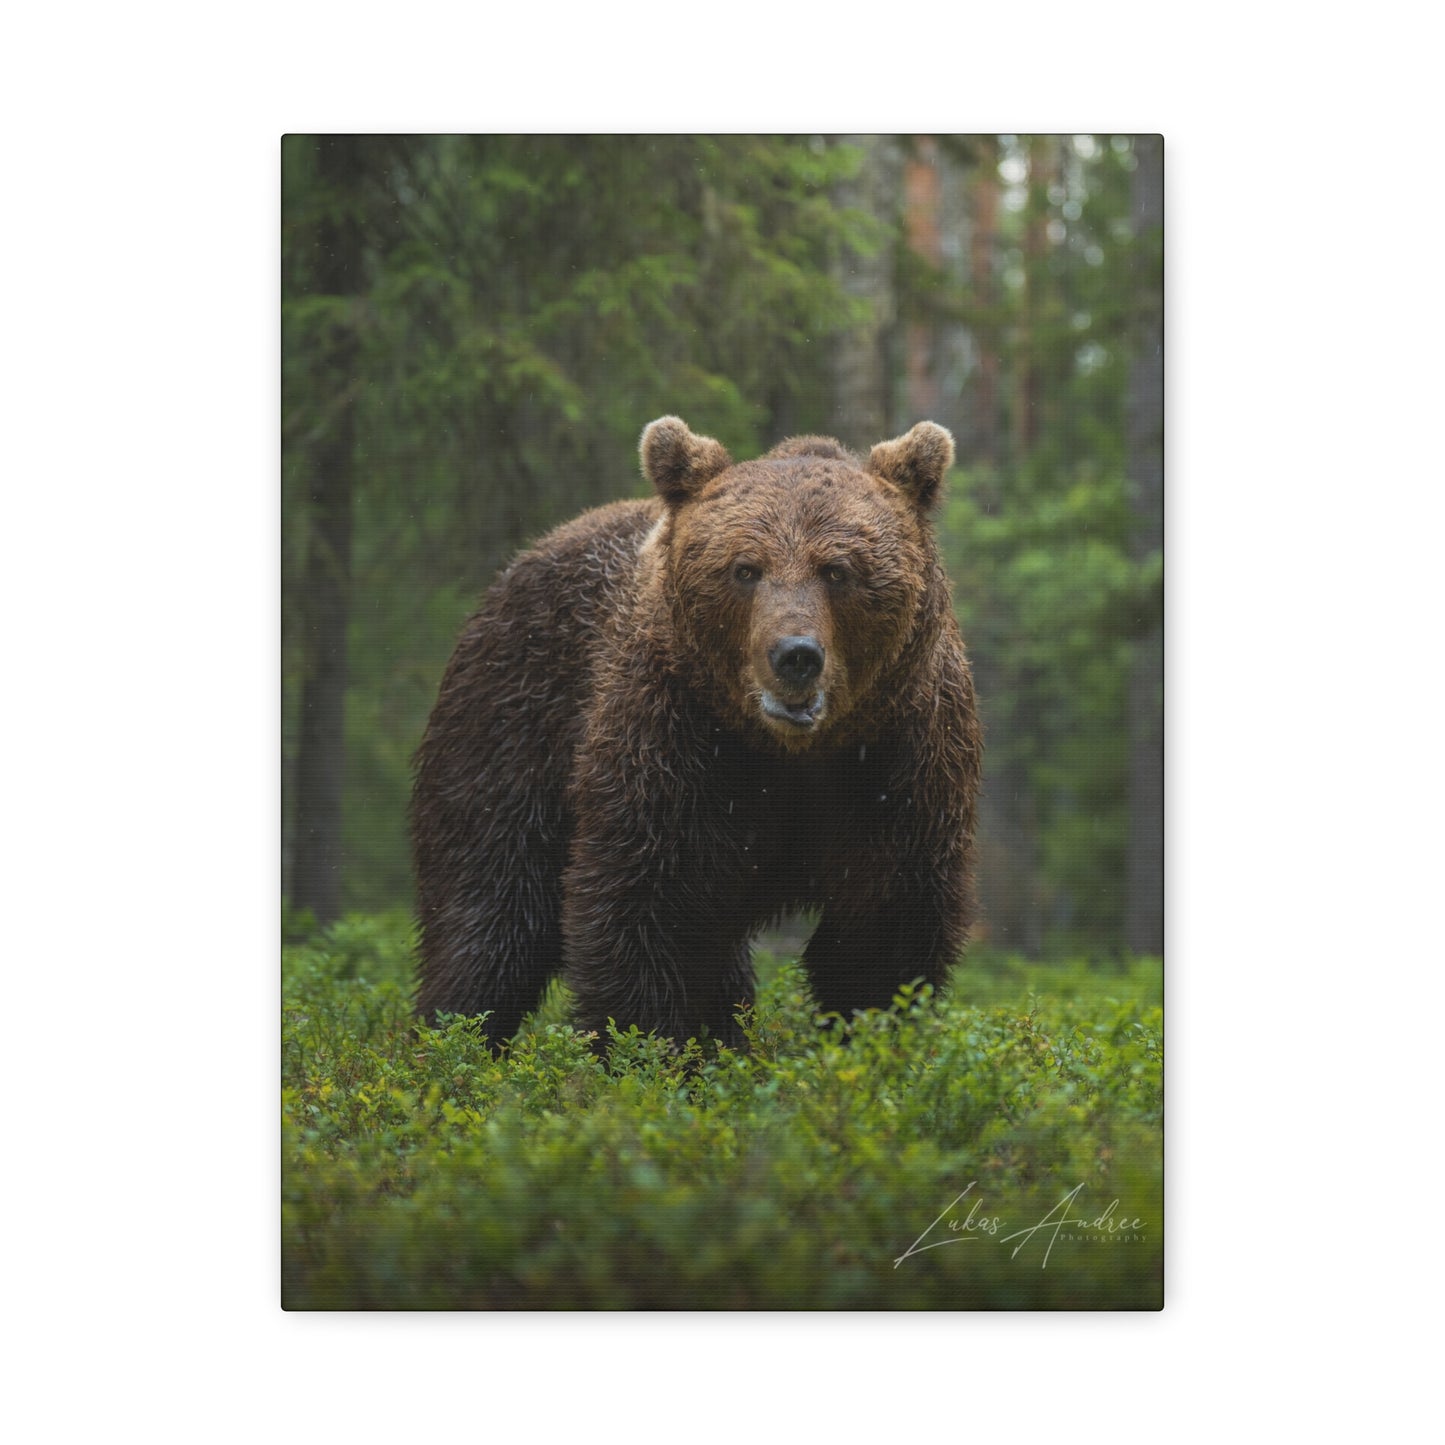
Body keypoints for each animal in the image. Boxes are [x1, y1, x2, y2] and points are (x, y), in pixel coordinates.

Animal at [411, 417, 982, 1050]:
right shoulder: (676, 744)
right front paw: (644, 1048)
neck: (792, 751)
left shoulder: (899, 759)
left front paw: (876, 1033)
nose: (795, 656)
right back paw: (449, 1038)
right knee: (492, 911)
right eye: (745, 568)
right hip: (513, 721)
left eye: (838, 570)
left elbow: (884, 931)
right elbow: (646, 912)